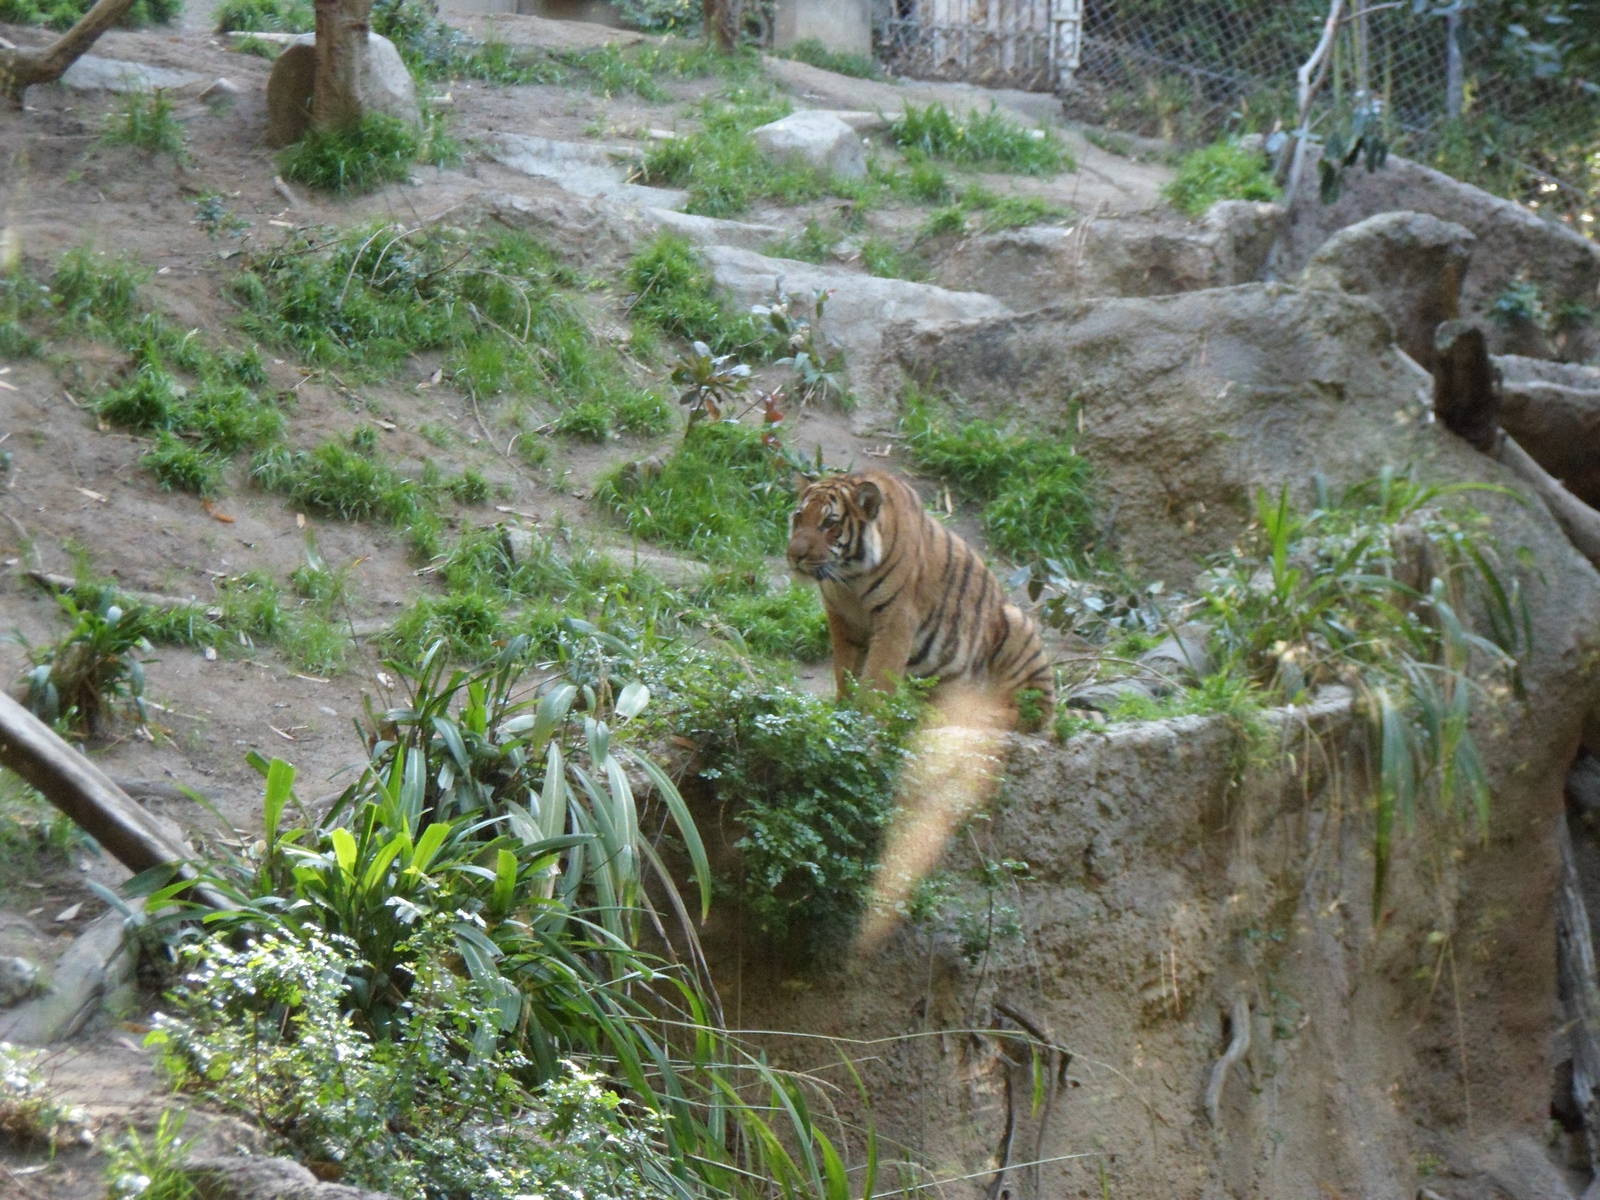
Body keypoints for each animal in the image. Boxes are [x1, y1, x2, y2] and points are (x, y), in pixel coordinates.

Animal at [786, 469, 1054, 730]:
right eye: (799, 517)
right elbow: (845, 670)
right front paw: (842, 711)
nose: (794, 555)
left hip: (1017, 625)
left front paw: (868, 722)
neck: (850, 579)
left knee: (1032, 714)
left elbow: (878, 677)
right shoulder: (842, 619)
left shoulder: (896, 620)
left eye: (829, 523)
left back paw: (979, 715)